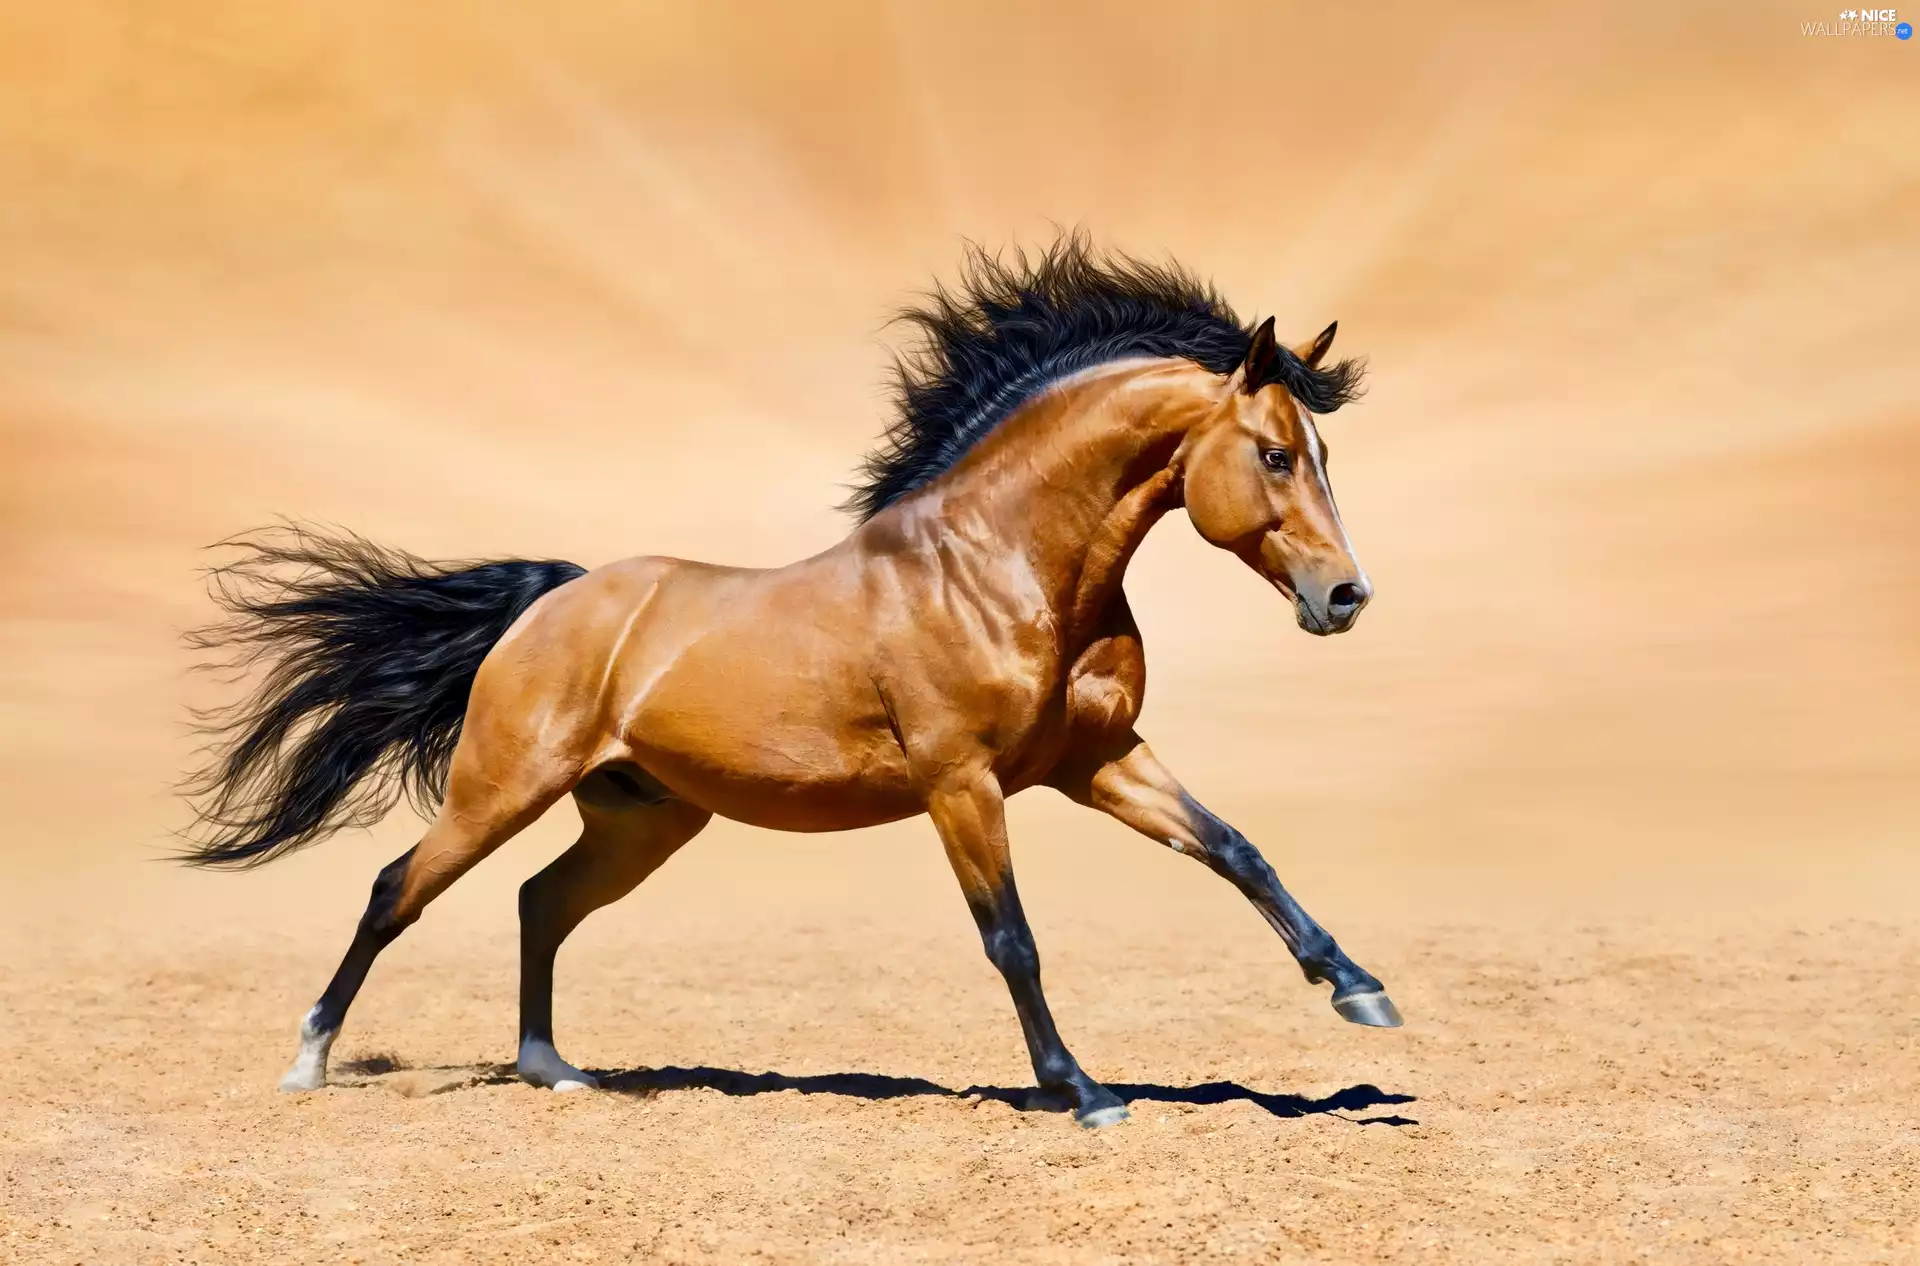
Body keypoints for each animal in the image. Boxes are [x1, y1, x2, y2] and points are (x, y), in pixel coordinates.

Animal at [183, 236, 1399, 1128]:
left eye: (1322, 456)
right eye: (1277, 455)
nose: (1346, 597)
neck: (1003, 569)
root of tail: (552, 601)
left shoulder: (1098, 761)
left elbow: (1237, 849)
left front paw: (1359, 991)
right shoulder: (962, 784)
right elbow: (1011, 937)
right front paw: (1084, 1092)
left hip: (643, 819)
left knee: (540, 901)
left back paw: (554, 1069)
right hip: (502, 787)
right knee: (398, 889)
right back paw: (309, 1063)